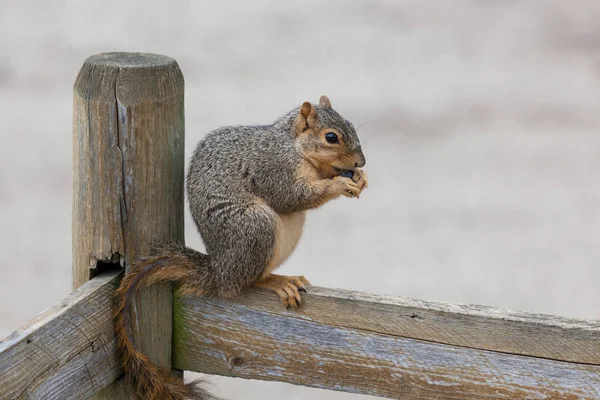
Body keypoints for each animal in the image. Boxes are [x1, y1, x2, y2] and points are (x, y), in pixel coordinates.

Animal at [112, 94, 366, 400]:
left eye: (350, 124)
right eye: (331, 137)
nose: (362, 161)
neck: (293, 145)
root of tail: (218, 271)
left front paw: (359, 177)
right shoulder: (273, 168)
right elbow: (292, 197)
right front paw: (339, 184)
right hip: (256, 227)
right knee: (244, 282)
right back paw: (276, 281)